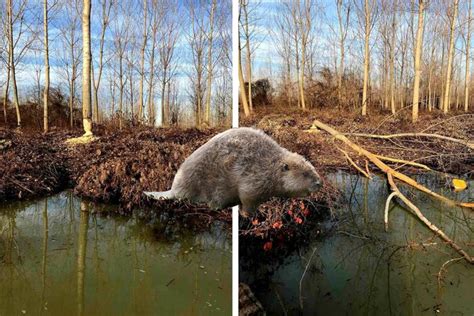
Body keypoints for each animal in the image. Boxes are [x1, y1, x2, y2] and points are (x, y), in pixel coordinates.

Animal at [144, 127, 322, 216]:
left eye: (312, 169)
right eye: (305, 173)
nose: (319, 183)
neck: (271, 165)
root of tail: (174, 190)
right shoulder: (254, 181)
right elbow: (248, 198)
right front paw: (248, 215)